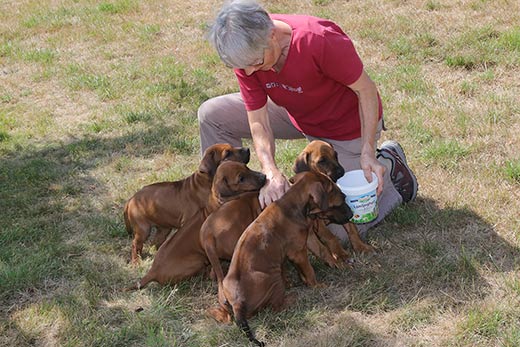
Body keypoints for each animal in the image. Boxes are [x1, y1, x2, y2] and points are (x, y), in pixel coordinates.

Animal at [124, 162, 266, 292]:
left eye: (246, 167)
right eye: (241, 178)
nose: (264, 177)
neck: (215, 201)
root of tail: (152, 272)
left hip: (163, 230)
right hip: (190, 256)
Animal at [209, 173, 352, 346]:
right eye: (339, 199)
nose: (351, 215)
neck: (294, 205)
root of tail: (238, 305)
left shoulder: (308, 239)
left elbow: (324, 252)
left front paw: (339, 264)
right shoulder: (298, 252)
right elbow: (309, 270)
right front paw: (316, 285)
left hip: (226, 290)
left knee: (225, 313)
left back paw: (214, 311)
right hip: (273, 278)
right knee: (276, 306)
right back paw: (292, 297)